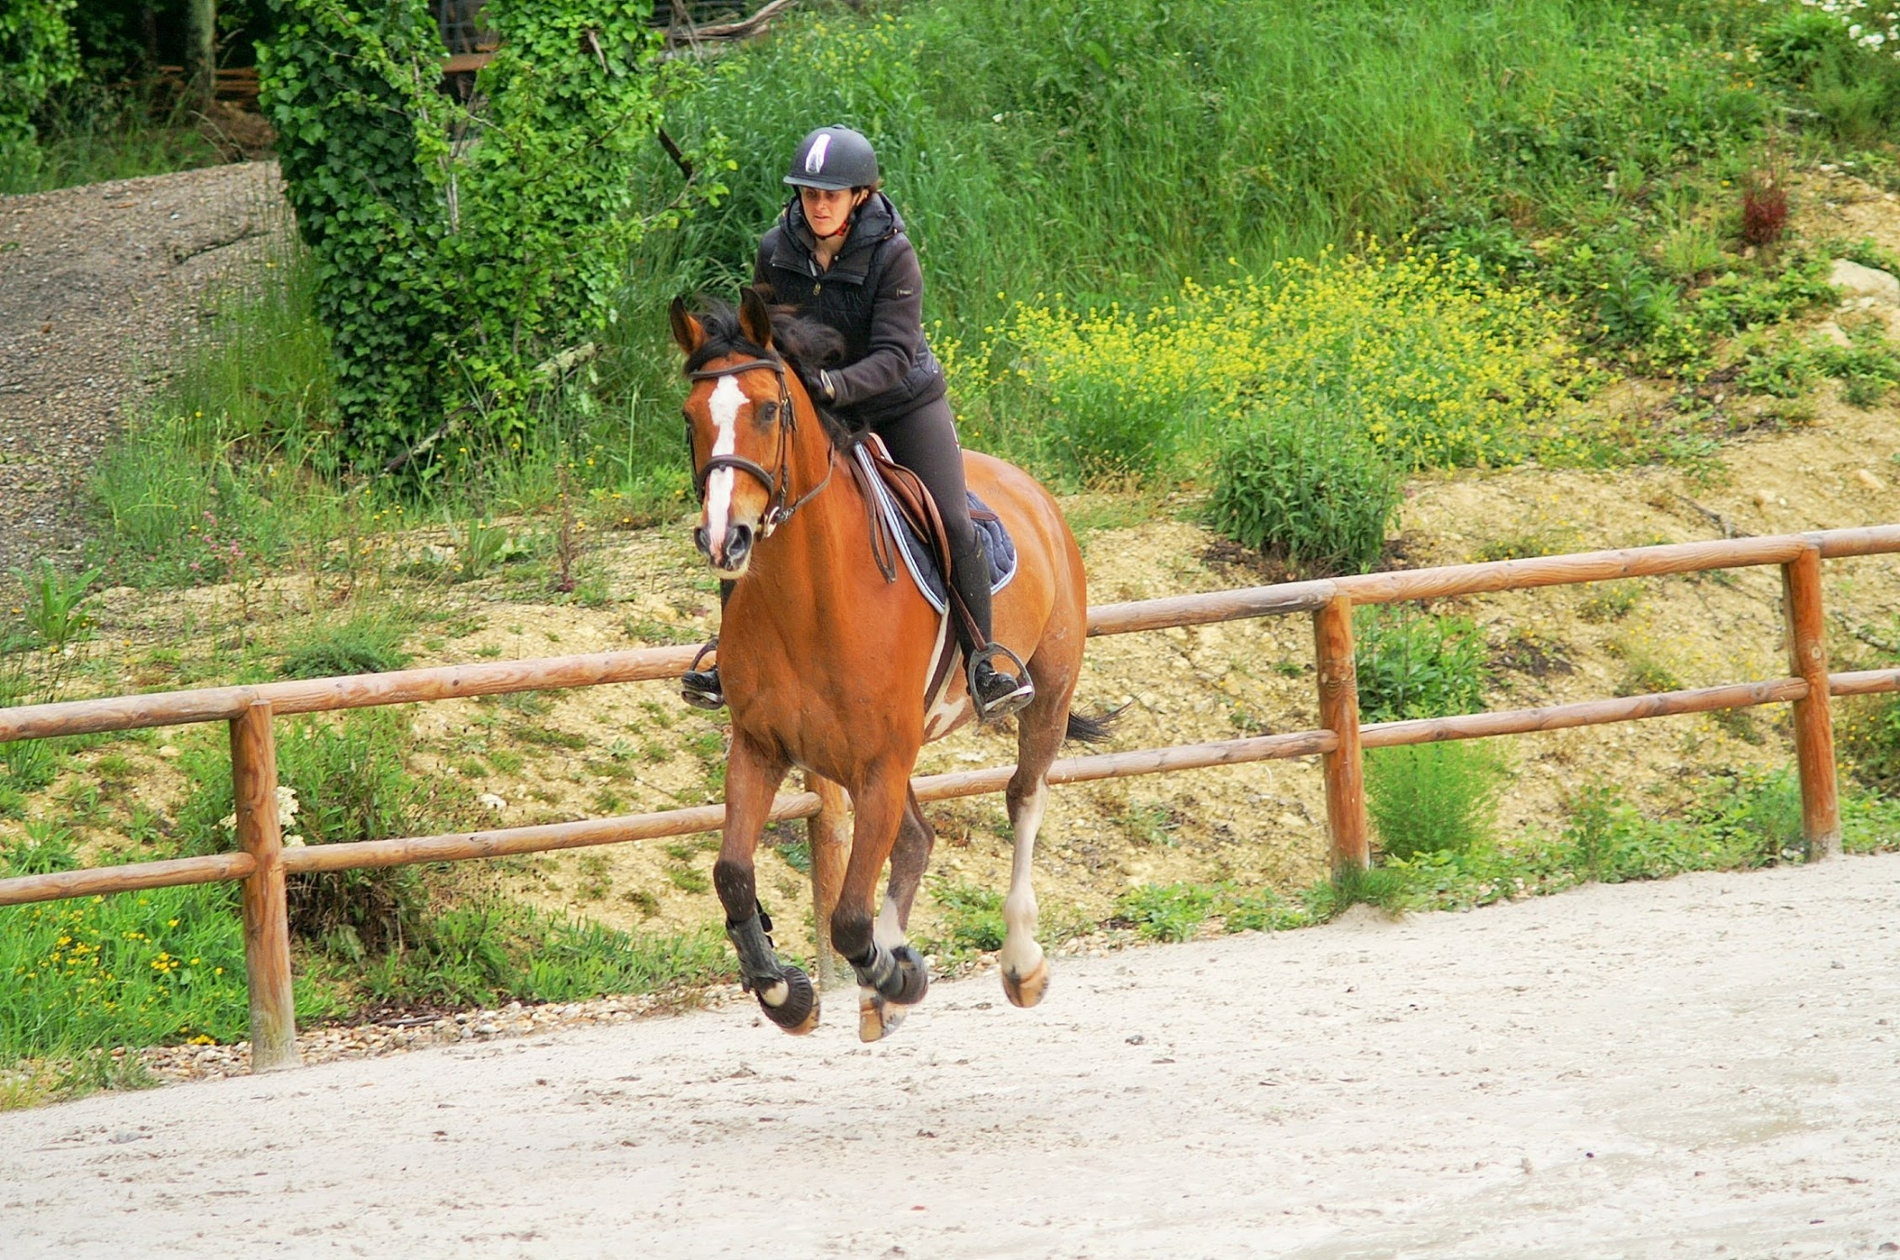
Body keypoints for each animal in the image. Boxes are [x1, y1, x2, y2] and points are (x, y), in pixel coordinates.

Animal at [670, 286, 1107, 1041]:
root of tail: (1031, 489)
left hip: (1044, 693)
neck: (810, 601)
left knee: (1023, 797)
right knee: (917, 840)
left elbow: (848, 917)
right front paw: (784, 990)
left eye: (769, 409)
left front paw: (895, 972)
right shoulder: (762, 746)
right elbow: (732, 874)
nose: (726, 539)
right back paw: (884, 990)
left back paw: (1018, 962)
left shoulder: (879, 760)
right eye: (692, 416)